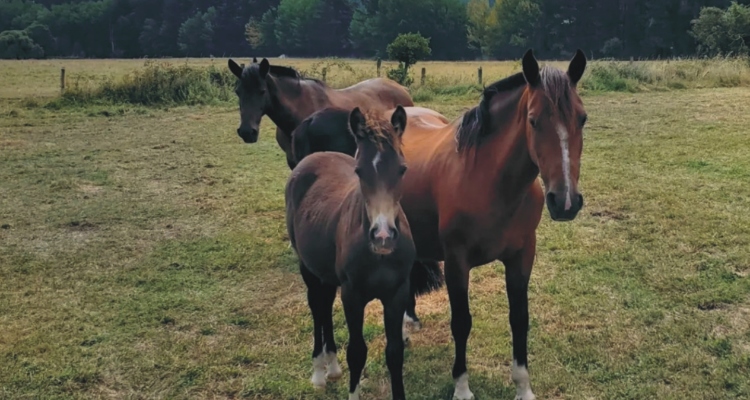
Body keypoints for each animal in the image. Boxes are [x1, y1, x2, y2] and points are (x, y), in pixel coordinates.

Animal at [284, 104, 434, 398]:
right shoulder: (352, 296)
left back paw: (332, 367)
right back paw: (319, 372)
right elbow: (356, 352)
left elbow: (394, 352)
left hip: (327, 273)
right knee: (317, 307)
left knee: (325, 304)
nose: (383, 236)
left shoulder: (397, 294)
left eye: (402, 169)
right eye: (359, 171)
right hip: (308, 268)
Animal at [382, 50, 592, 400]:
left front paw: (523, 387)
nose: (565, 202)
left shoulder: (522, 256)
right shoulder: (457, 262)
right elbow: (461, 322)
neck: (489, 180)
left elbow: (519, 318)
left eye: (582, 118)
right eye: (533, 120)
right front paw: (462, 387)